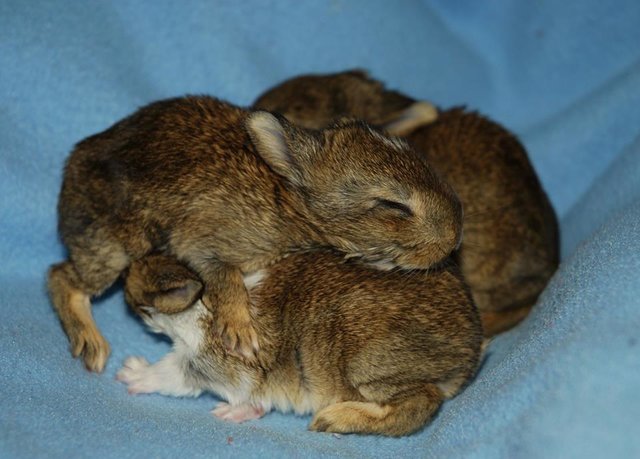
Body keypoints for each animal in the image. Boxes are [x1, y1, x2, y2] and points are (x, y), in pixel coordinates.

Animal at [48, 95, 464, 372]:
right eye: (393, 206)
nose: (454, 237)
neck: (289, 197)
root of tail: (70, 171)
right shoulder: (205, 242)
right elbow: (224, 277)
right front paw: (241, 334)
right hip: (114, 244)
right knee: (62, 277)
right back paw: (92, 345)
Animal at [117, 252, 483, 437]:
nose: (125, 274)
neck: (203, 300)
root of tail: (470, 353)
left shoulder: (209, 361)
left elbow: (173, 374)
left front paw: (131, 374)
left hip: (365, 363)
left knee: (421, 403)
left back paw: (330, 420)